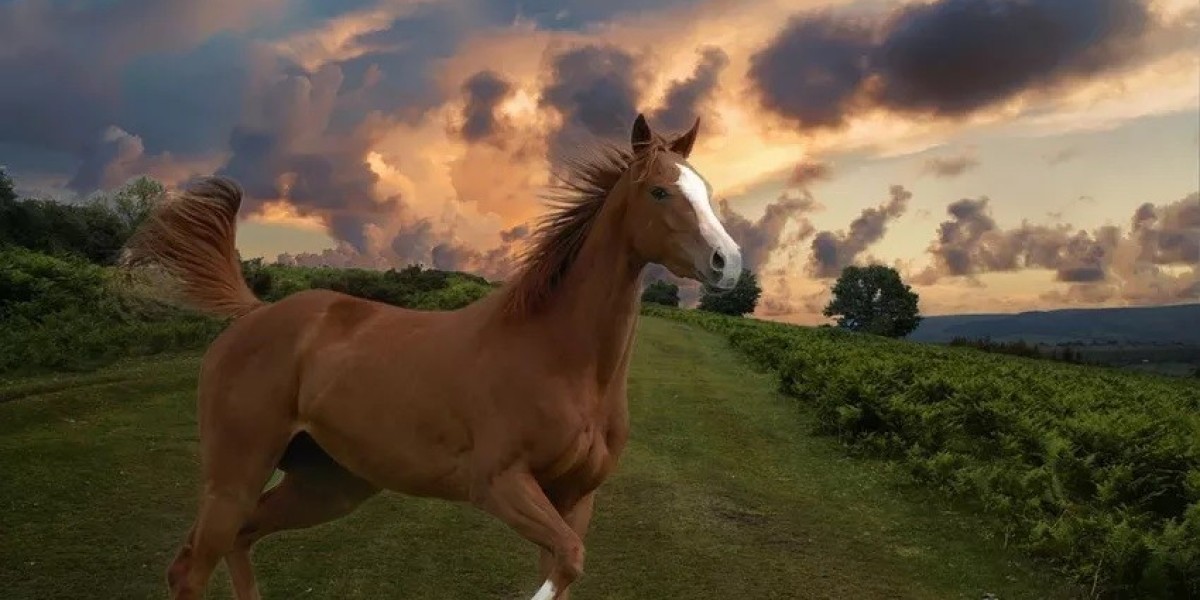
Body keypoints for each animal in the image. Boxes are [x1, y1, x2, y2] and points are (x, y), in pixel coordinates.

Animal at [123, 113, 743, 600]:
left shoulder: (574, 499)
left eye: (706, 190)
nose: (728, 262)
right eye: (660, 191)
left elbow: (565, 566)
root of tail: (254, 314)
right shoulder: (500, 485)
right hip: (236, 471)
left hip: (327, 484)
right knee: (190, 569)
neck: (562, 361)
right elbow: (567, 563)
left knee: (241, 539)